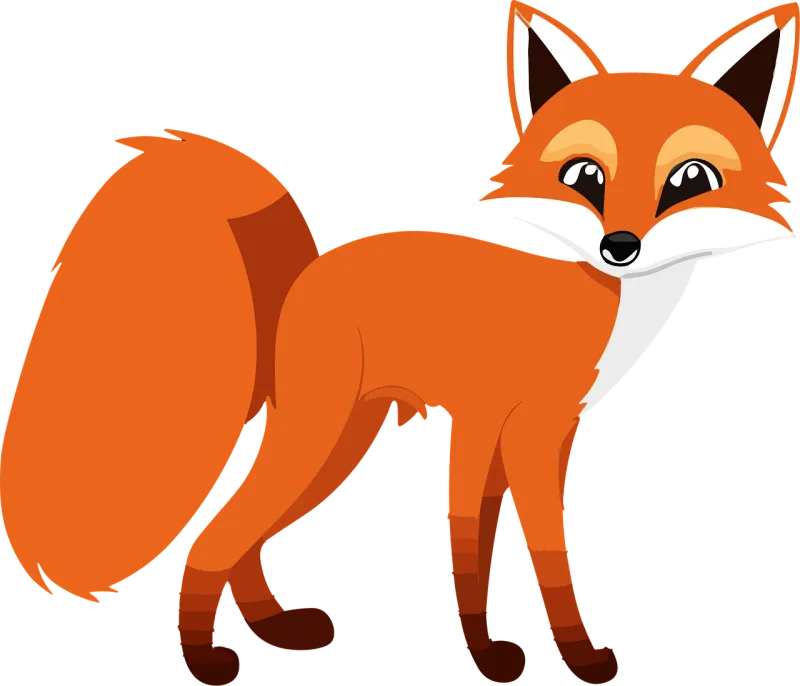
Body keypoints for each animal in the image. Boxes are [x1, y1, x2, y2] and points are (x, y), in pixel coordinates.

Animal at [0, 2, 797, 685]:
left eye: (690, 179)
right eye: (584, 177)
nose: (620, 246)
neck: (603, 305)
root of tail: (306, 270)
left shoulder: (540, 432)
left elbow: (500, 544)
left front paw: (514, 651)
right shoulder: (500, 426)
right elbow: (505, 546)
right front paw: (529, 659)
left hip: (343, 441)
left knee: (242, 538)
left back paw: (272, 628)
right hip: (323, 434)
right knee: (213, 537)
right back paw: (206, 661)